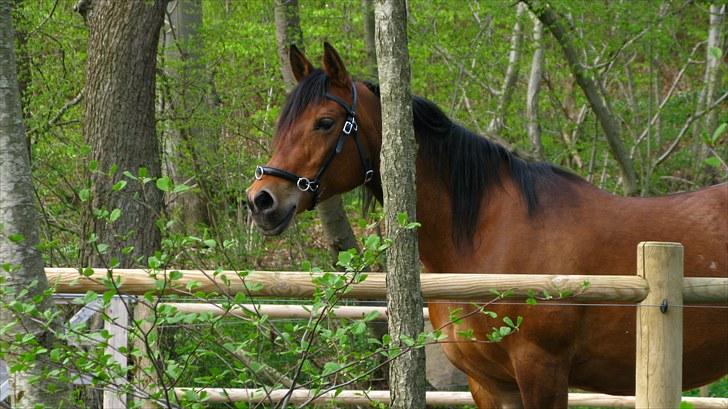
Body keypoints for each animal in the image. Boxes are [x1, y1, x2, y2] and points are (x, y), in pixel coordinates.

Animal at [246, 42, 728, 408]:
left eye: (325, 123)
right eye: (283, 122)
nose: (261, 200)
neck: (488, 235)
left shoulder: (542, 371)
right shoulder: (489, 384)